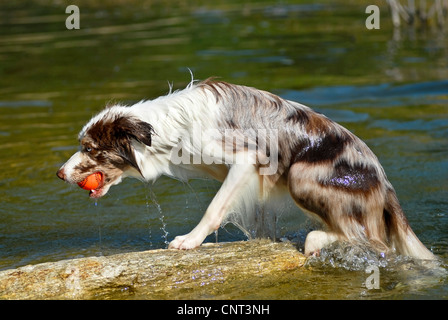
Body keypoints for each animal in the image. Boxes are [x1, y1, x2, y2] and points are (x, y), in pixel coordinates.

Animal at [57, 78, 436, 260]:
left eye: (88, 148)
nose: (59, 173)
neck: (166, 129)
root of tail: (385, 183)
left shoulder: (247, 159)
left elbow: (214, 208)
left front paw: (189, 241)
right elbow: (257, 222)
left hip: (301, 175)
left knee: (373, 241)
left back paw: (316, 241)